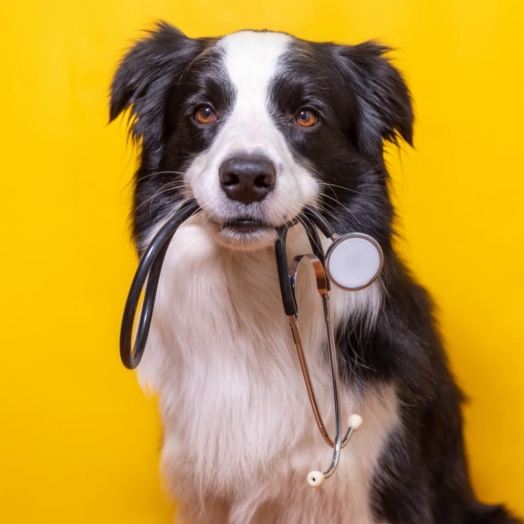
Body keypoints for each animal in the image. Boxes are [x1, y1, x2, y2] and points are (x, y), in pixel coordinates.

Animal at [109, 21, 520, 524]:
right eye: (203, 112)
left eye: (306, 116)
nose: (246, 177)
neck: (256, 298)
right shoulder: (201, 489)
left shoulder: (383, 478)